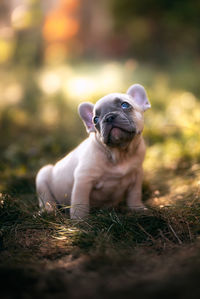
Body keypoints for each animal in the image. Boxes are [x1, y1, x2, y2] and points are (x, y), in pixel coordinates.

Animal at [36, 84, 151, 220]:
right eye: (95, 120)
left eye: (125, 105)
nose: (109, 117)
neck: (120, 154)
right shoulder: (83, 179)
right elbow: (80, 203)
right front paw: (79, 221)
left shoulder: (137, 175)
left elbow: (135, 195)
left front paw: (138, 210)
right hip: (42, 175)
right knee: (46, 199)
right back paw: (49, 210)